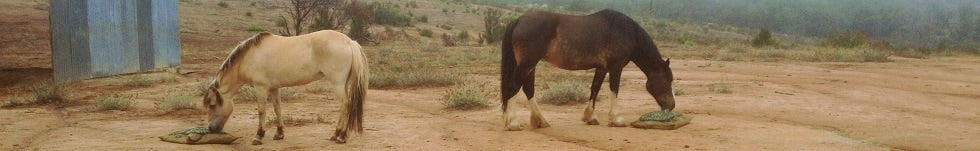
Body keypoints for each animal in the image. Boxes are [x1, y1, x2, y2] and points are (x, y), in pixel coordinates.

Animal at [201, 30, 370, 145]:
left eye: (213, 105)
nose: (211, 129)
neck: (249, 57)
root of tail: (349, 41)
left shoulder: (260, 88)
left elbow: (261, 111)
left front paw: (259, 136)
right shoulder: (274, 88)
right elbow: (277, 109)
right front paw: (279, 134)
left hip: (337, 84)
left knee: (345, 104)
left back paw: (341, 136)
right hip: (343, 84)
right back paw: (337, 135)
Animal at [498, 9, 672, 130]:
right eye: (668, 80)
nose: (671, 106)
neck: (625, 30)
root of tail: (518, 20)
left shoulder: (602, 68)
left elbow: (595, 88)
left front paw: (590, 118)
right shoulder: (616, 67)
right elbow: (614, 90)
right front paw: (616, 120)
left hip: (530, 65)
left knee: (528, 89)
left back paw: (540, 121)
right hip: (527, 64)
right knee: (514, 87)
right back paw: (513, 123)